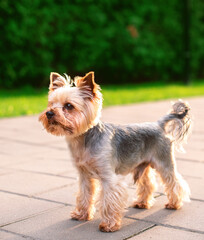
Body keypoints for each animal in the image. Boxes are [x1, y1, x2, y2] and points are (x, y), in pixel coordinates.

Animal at [39, 71, 192, 232]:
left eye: (69, 106)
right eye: (51, 104)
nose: (49, 113)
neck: (83, 140)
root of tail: (159, 125)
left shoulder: (109, 178)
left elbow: (109, 202)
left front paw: (109, 225)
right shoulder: (84, 176)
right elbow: (84, 195)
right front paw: (81, 214)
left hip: (164, 162)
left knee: (174, 181)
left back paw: (174, 204)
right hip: (142, 164)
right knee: (148, 183)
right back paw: (142, 203)